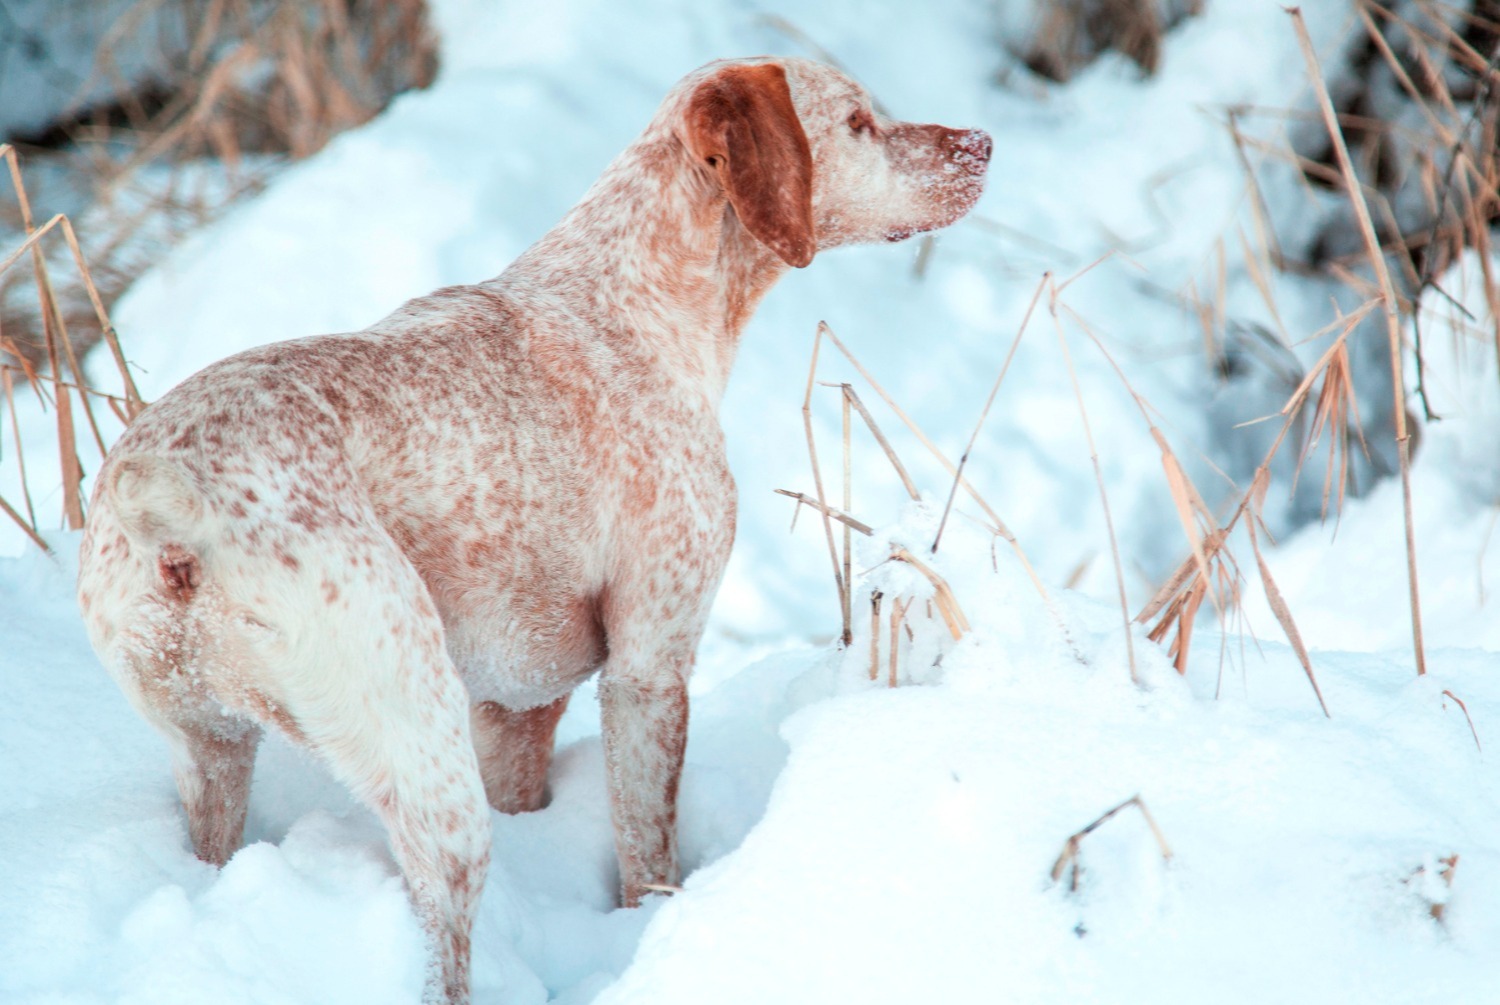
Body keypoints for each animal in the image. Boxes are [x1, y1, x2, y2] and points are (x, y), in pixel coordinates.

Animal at [76, 57, 990, 1005]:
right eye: (857, 122)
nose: (982, 144)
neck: (638, 300)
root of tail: (169, 497)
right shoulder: (649, 666)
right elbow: (647, 851)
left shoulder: (515, 702)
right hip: (426, 760)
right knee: (440, 933)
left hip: (212, 750)